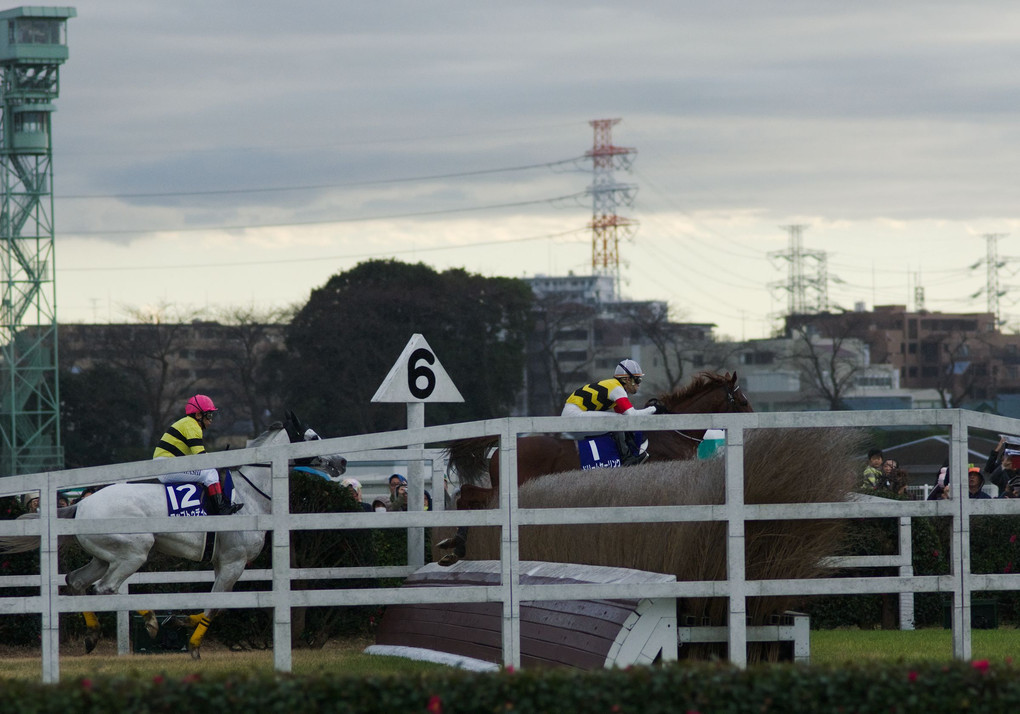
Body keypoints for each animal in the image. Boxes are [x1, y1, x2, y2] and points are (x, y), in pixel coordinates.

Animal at [0, 412, 346, 656]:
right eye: (313, 436)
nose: (341, 461)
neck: (249, 493)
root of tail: (81, 504)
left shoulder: (221, 562)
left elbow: (209, 604)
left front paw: (181, 622)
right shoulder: (234, 562)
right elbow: (216, 606)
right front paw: (192, 644)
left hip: (103, 555)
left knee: (77, 581)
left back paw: (94, 634)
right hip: (134, 551)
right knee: (106, 588)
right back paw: (150, 621)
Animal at [436, 373, 750, 563]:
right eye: (742, 400)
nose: (753, 420)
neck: (671, 433)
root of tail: (503, 444)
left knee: (467, 494)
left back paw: (454, 546)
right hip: (509, 487)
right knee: (468, 495)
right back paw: (457, 545)